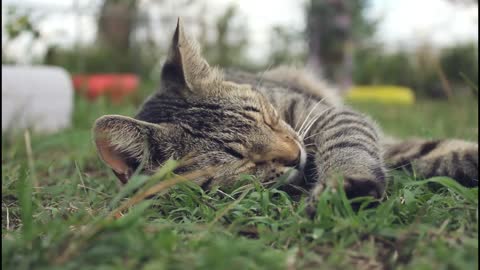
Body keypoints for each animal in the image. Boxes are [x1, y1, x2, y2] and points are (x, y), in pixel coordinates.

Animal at [92, 19, 478, 216]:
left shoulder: (330, 115)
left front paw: (344, 180)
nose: (295, 155)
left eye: (266, 116)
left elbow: (353, 144)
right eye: (240, 159)